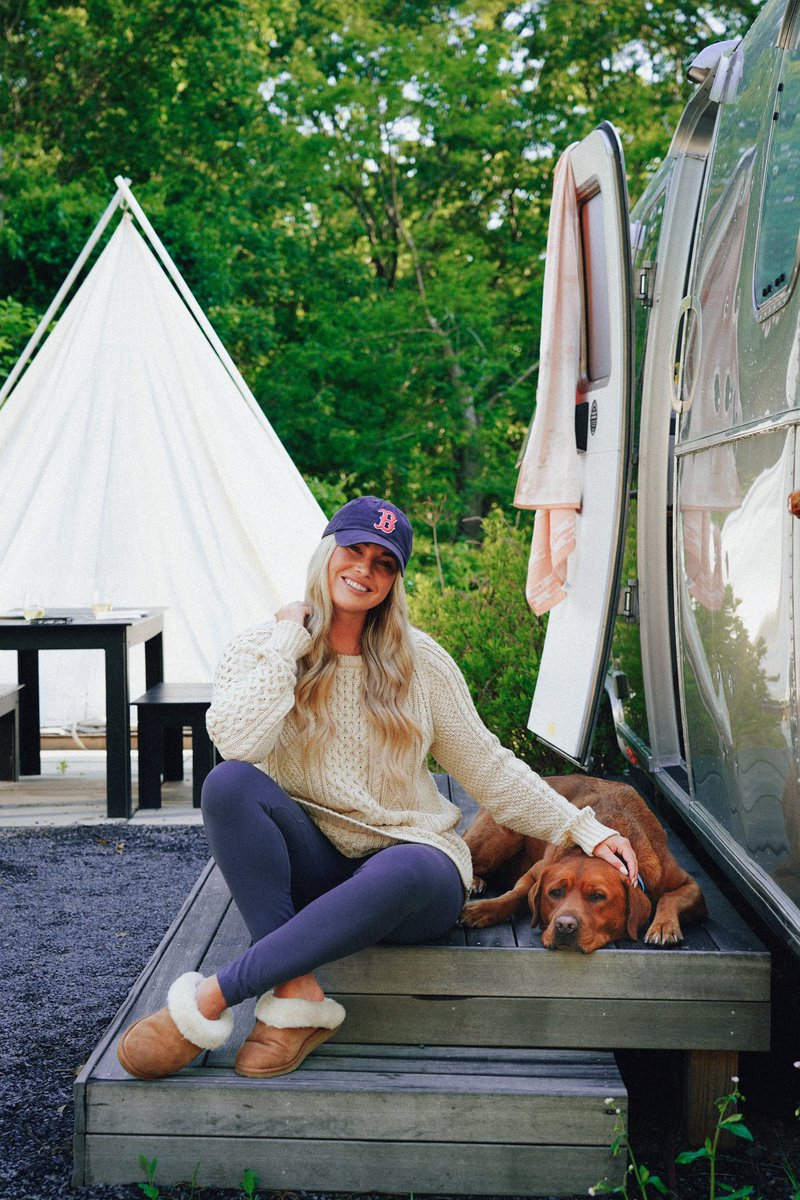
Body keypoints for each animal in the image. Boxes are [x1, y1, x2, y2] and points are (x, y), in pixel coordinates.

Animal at [461, 776, 707, 952]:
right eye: (555, 893)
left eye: (598, 897)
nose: (565, 925)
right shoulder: (536, 872)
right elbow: (514, 895)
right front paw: (484, 908)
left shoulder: (690, 886)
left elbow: (670, 897)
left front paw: (664, 926)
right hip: (499, 837)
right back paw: (474, 879)